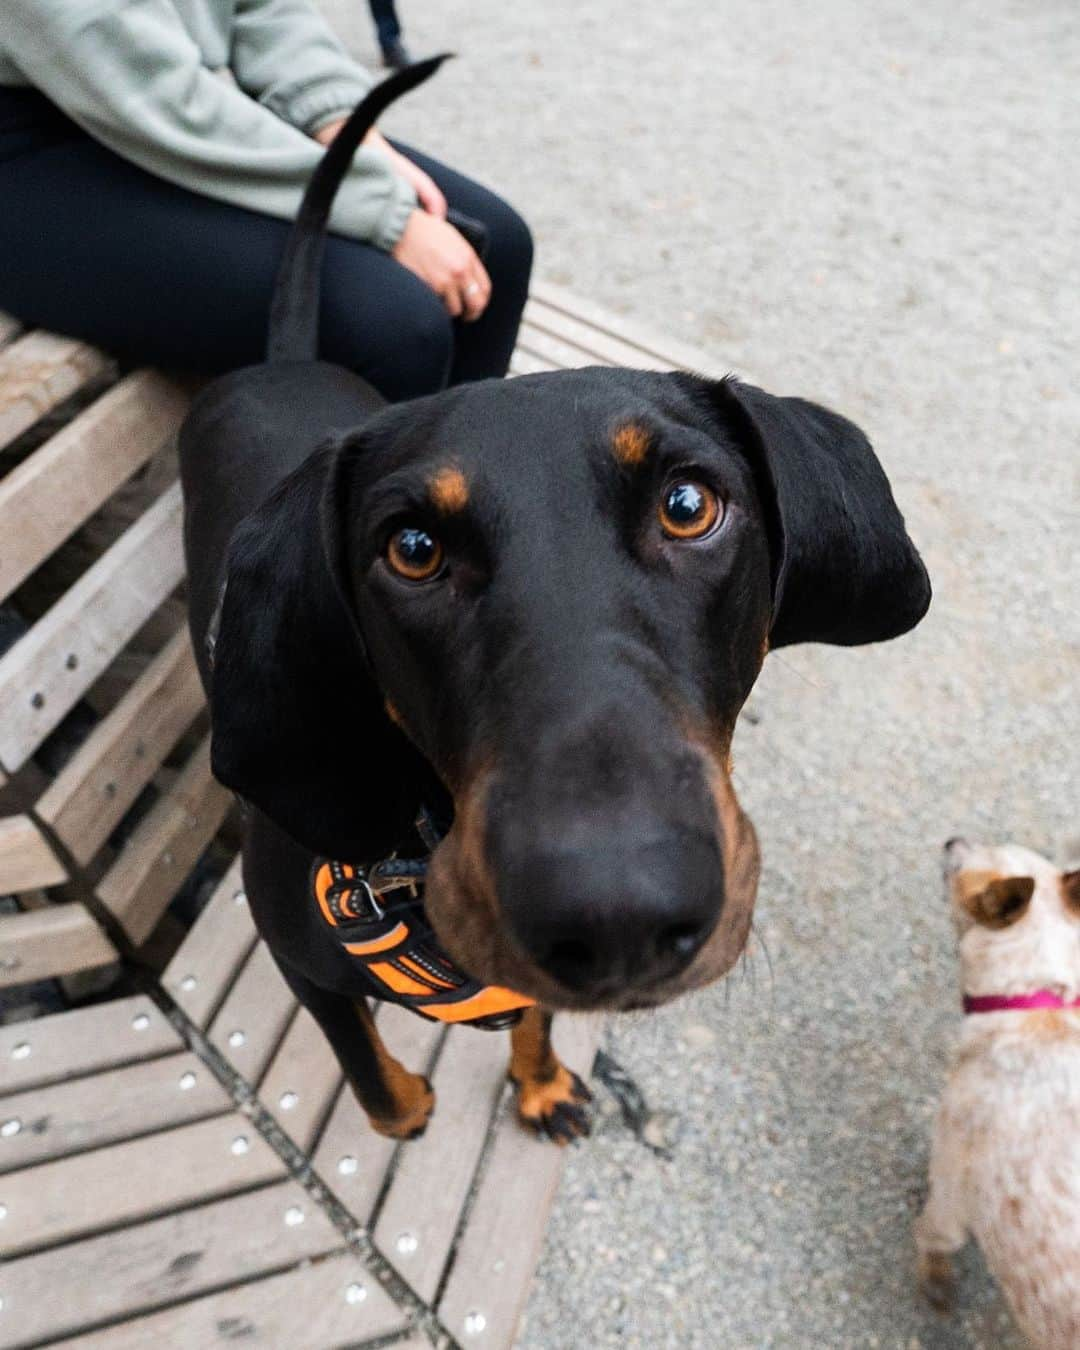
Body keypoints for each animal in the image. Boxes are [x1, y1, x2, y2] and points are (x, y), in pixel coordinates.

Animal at [918, 837, 1080, 1344]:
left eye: (963, 868)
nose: (952, 838)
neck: (1032, 998)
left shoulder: (951, 1188)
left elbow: (930, 1236)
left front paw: (935, 1284)